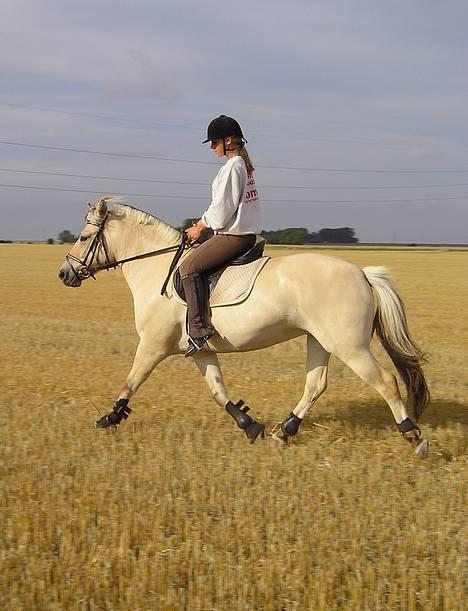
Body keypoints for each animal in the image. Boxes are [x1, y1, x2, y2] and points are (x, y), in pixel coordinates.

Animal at [56, 198, 430, 456]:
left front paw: (109, 418)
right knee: (316, 385)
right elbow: (218, 390)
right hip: (319, 340)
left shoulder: (152, 346)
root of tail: (363, 274)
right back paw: (285, 430)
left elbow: (131, 381)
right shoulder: (199, 351)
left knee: (386, 382)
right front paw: (250, 426)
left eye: (85, 236)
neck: (157, 266)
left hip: (349, 345)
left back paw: (414, 436)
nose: (64, 273)